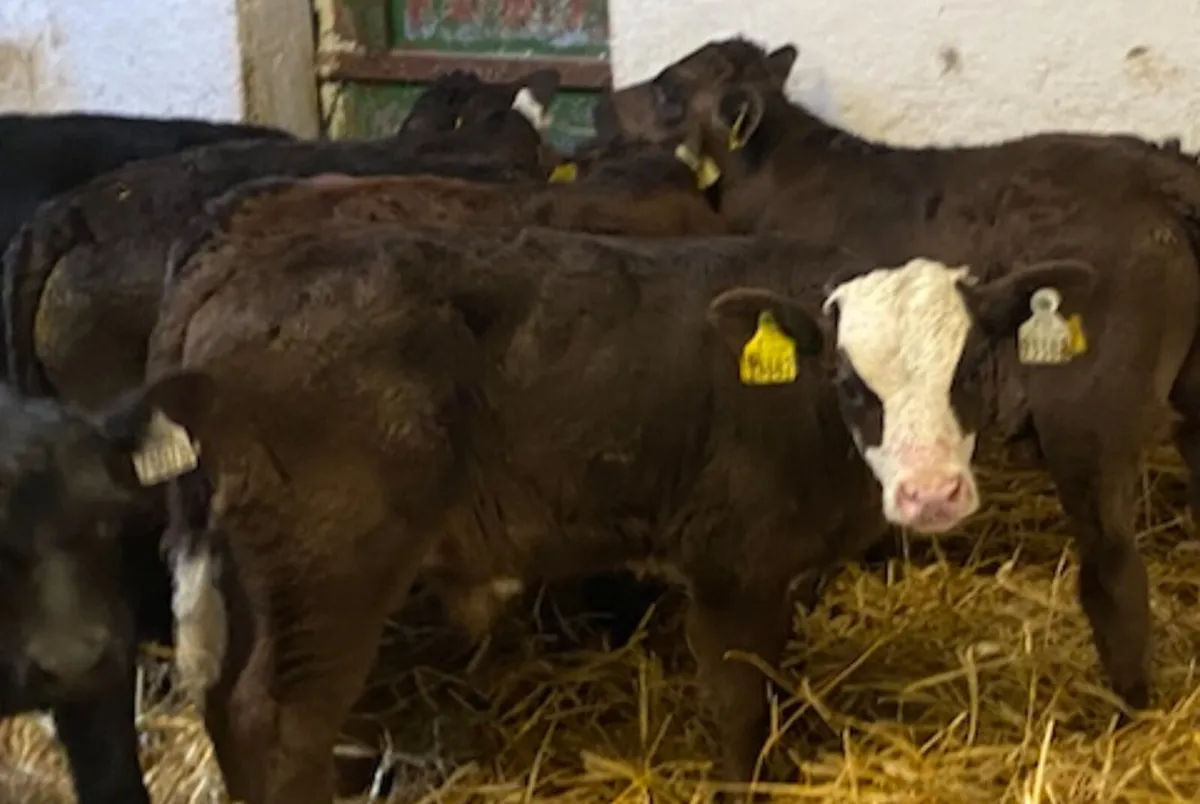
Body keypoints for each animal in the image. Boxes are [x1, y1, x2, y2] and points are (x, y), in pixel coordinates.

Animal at [600, 36, 1200, 718]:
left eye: (669, 89)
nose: (601, 107)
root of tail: (1162, 177)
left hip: (1090, 411)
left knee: (1114, 565)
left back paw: (1126, 705)